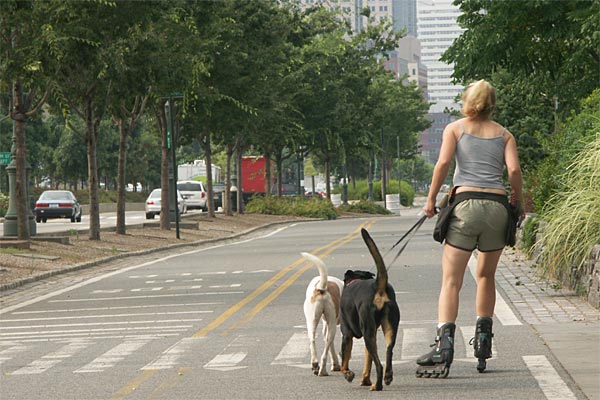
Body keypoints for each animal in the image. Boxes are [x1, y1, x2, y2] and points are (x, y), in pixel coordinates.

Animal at [340, 228, 400, 390]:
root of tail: (377, 286)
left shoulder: (346, 334)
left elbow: (344, 362)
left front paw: (348, 374)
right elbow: (368, 361)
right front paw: (365, 379)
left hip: (367, 331)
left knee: (379, 365)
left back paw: (377, 385)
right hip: (387, 328)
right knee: (388, 351)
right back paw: (387, 376)